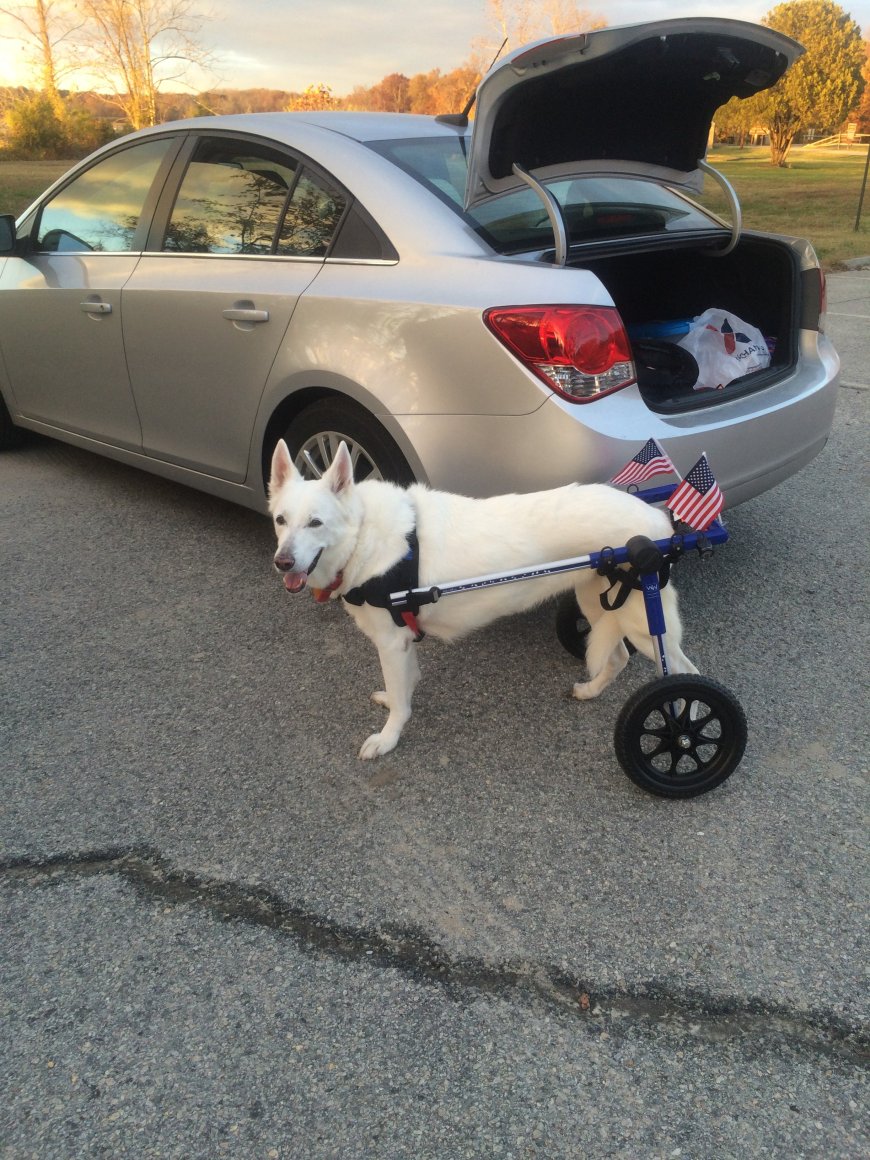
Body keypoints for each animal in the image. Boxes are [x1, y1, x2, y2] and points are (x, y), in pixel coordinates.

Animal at [269, 438, 700, 756]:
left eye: (316, 523)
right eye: (280, 520)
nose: (282, 562)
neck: (362, 533)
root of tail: (658, 519)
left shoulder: (391, 642)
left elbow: (400, 701)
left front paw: (388, 737)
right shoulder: (402, 643)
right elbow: (403, 688)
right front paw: (394, 701)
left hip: (643, 620)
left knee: (686, 673)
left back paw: (685, 731)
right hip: (598, 601)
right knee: (618, 656)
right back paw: (590, 691)